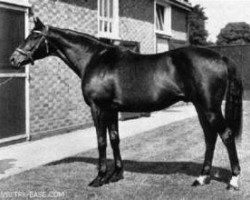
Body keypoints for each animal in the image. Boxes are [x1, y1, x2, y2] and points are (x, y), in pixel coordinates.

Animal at [9, 18, 242, 190]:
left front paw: (99, 178)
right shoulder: (112, 109)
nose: (13, 60)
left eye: (34, 36)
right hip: (201, 107)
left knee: (226, 135)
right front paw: (116, 174)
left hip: (210, 108)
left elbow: (101, 141)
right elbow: (114, 139)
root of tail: (221, 57)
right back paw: (202, 178)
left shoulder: (98, 108)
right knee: (210, 137)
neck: (94, 58)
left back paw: (233, 180)